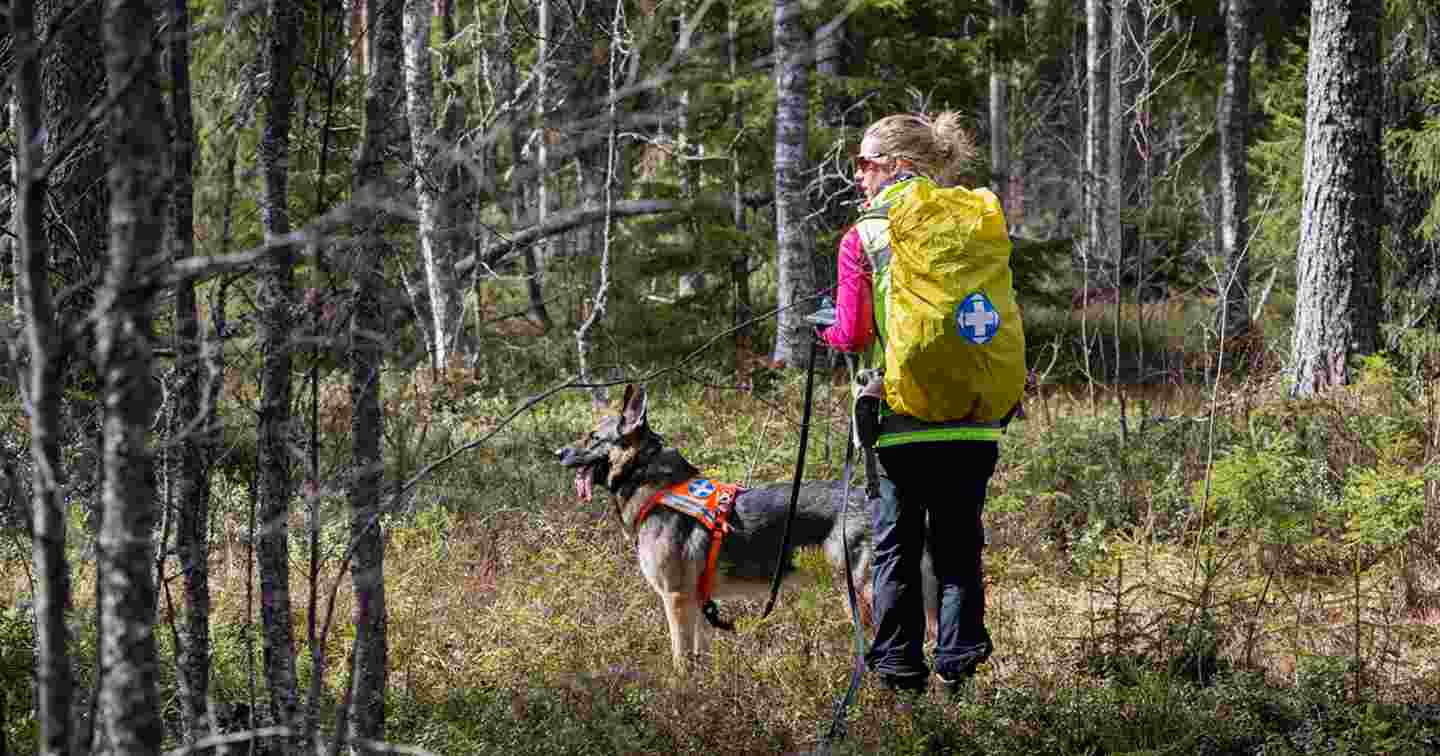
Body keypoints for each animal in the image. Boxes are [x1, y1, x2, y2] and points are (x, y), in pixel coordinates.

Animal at [555, 385, 938, 668]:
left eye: (592, 437)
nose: (557, 453)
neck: (653, 483)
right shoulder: (696, 606)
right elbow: (699, 661)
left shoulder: (676, 600)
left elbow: (680, 663)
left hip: (864, 600)